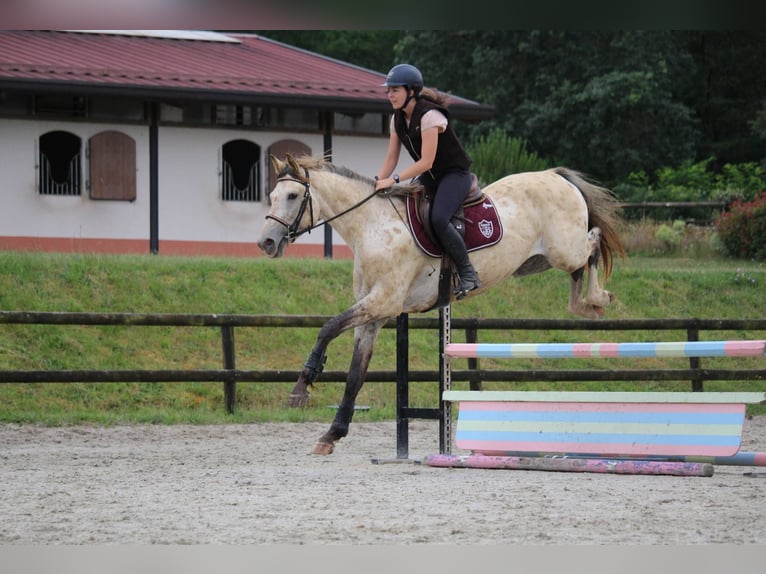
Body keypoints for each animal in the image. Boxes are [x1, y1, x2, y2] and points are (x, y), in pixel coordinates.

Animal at [255, 155, 628, 456]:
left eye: (292, 196)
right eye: (271, 196)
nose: (266, 243)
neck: (372, 228)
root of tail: (555, 175)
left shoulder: (382, 302)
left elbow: (328, 327)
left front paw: (301, 387)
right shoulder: (373, 315)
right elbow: (355, 375)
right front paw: (331, 434)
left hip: (563, 249)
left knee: (592, 243)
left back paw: (599, 298)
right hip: (535, 262)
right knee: (579, 271)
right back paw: (587, 305)